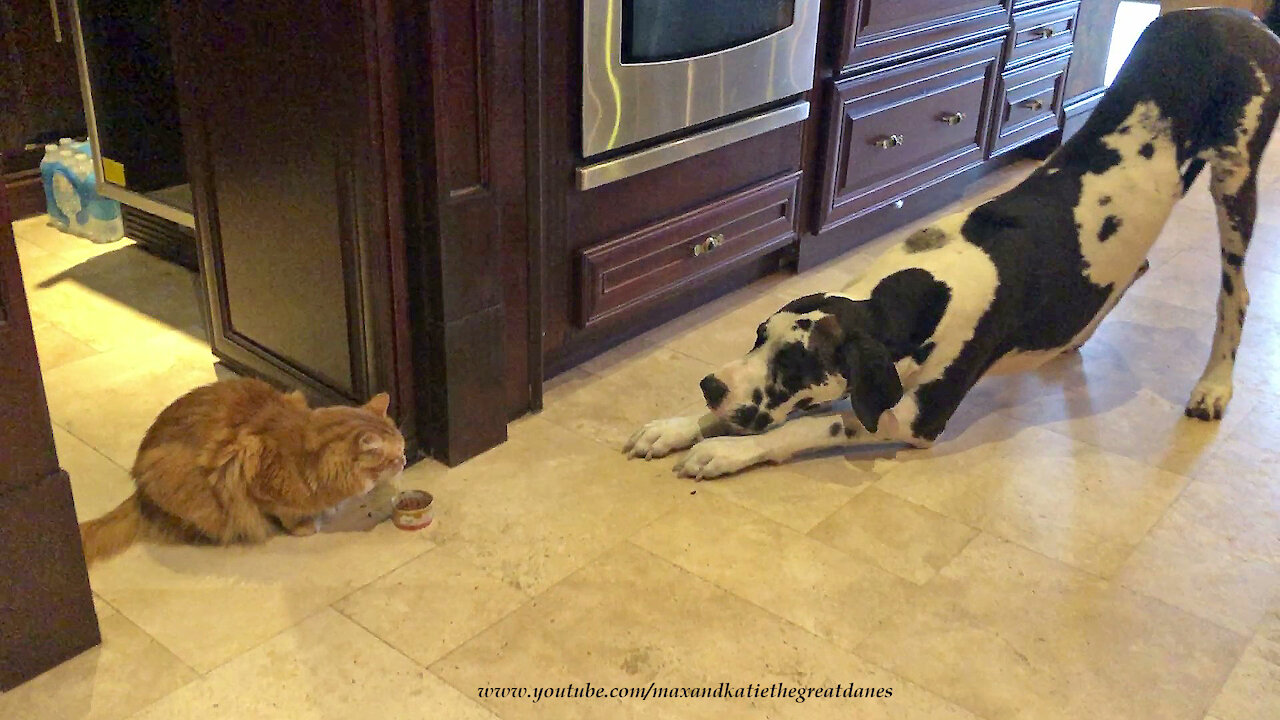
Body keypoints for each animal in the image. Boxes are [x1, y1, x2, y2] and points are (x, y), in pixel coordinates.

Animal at [78, 379, 404, 563]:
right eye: (391, 459)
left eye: (403, 449)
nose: (403, 461)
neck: (304, 455)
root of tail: (139, 493)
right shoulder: (250, 473)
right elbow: (283, 512)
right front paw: (302, 526)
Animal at [622, 8, 1280, 476]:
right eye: (758, 336)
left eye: (794, 363)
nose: (711, 385)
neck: (919, 296)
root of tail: (1241, 19)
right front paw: (677, 426)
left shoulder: (915, 418)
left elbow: (806, 426)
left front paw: (724, 451)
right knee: (1133, 269)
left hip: (1235, 182)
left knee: (1236, 294)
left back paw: (1213, 386)